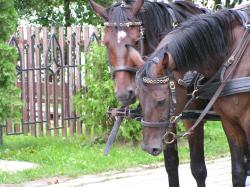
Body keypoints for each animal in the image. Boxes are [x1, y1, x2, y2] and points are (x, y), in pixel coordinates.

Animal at [90, 0, 209, 186]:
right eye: (105, 43)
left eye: (136, 40)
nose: (124, 94)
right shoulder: (165, 117)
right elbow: (171, 163)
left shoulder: (194, 118)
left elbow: (198, 169)